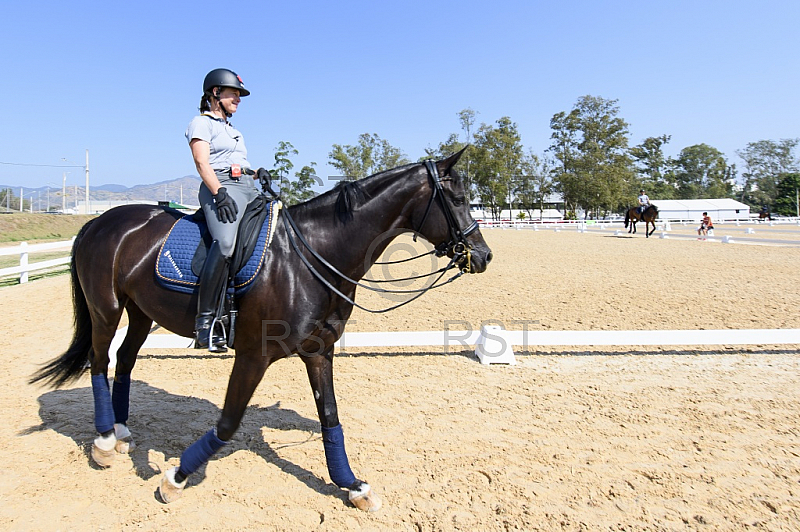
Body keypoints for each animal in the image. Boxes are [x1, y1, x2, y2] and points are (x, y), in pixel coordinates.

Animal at [31, 149, 490, 512]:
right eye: (458, 199)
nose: (483, 256)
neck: (313, 255)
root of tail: (99, 222)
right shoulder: (254, 354)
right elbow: (228, 423)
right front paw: (174, 479)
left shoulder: (319, 350)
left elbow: (330, 417)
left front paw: (353, 486)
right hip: (106, 310)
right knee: (98, 361)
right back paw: (105, 442)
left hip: (141, 313)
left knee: (124, 361)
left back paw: (122, 432)